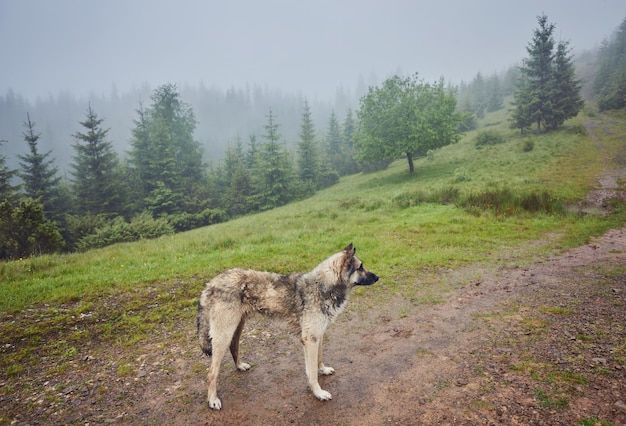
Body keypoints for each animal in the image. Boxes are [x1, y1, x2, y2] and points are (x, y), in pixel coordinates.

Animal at [197, 245, 378, 412]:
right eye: (360, 267)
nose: (378, 277)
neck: (324, 286)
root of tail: (211, 283)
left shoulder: (317, 336)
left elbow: (318, 360)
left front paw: (323, 370)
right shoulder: (310, 340)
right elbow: (312, 373)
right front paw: (318, 393)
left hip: (235, 329)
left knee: (234, 348)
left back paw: (240, 366)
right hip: (223, 336)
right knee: (211, 373)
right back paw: (212, 399)